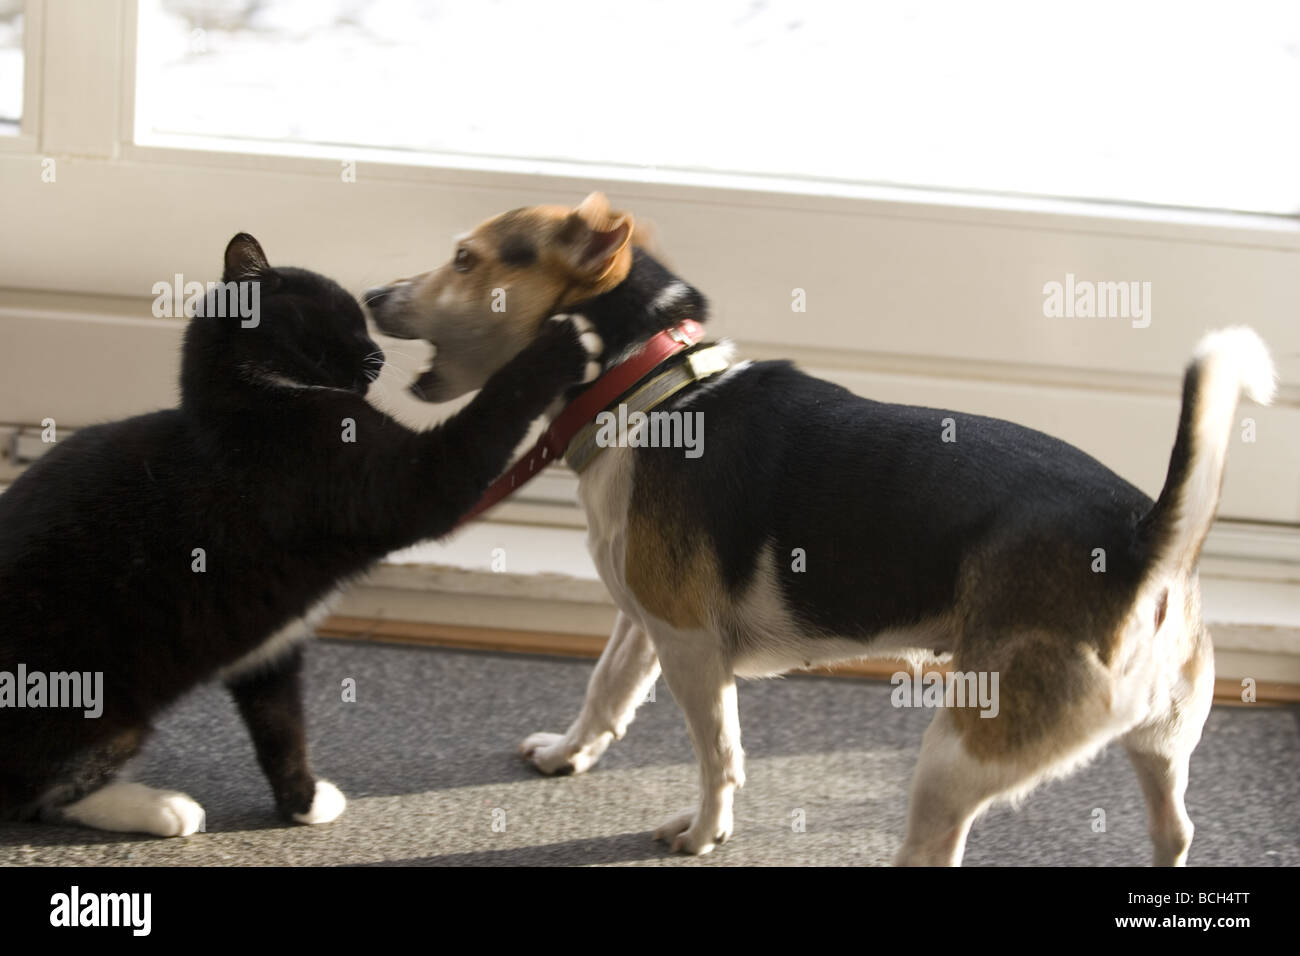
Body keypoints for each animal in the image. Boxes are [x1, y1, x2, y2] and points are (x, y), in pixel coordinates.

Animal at [0, 234, 598, 837]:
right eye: (341, 315)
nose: (378, 356)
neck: (254, 399)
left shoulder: (269, 646)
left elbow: (281, 727)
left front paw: (302, 802)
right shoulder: (400, 481)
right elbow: (484, 423)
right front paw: (562, 343)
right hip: (97, 699)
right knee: (41, 790)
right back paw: (162, 808)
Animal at [369, 195, 1279, 868]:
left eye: (465, 259)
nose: (373, 297)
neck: (650, 387)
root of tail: (1140, 540)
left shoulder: (692, 650)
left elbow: (719, 756)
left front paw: (702, 834)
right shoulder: (648, 622)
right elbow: (606, 691)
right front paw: (568, 755)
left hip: (958, 754)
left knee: (934, 848)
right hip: (1161, 744)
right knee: (1176, 830)